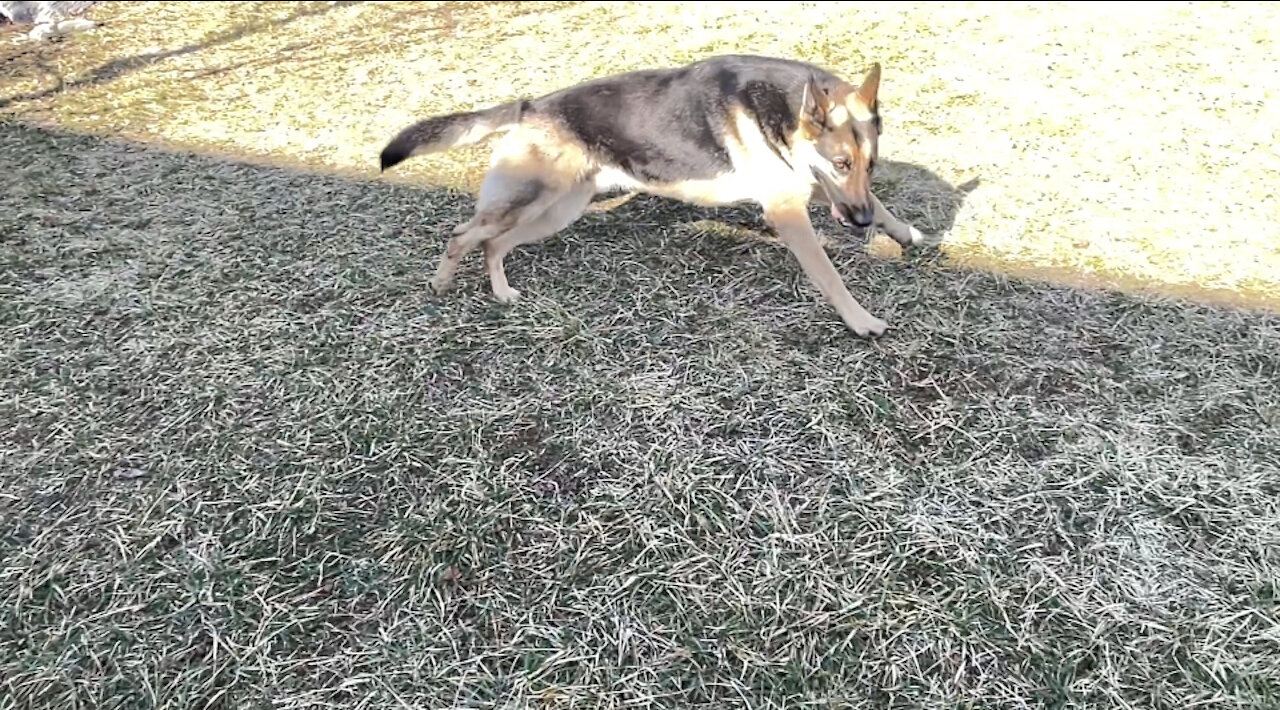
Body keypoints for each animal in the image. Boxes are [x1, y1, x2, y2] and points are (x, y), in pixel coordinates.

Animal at [373, 54, 926, 337]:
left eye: (870, 165)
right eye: (841, 163)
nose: (859, 224)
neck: (786, 112)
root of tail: (531, 106)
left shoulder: (811, 192)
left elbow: (883, 206)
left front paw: (906, 232)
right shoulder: (789, 210)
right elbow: (831, 278)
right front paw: (862, 320)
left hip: (557, 211)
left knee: (492, 244)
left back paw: (502, 292)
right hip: (530, 199)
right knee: (463, 234)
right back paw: (442, 283)